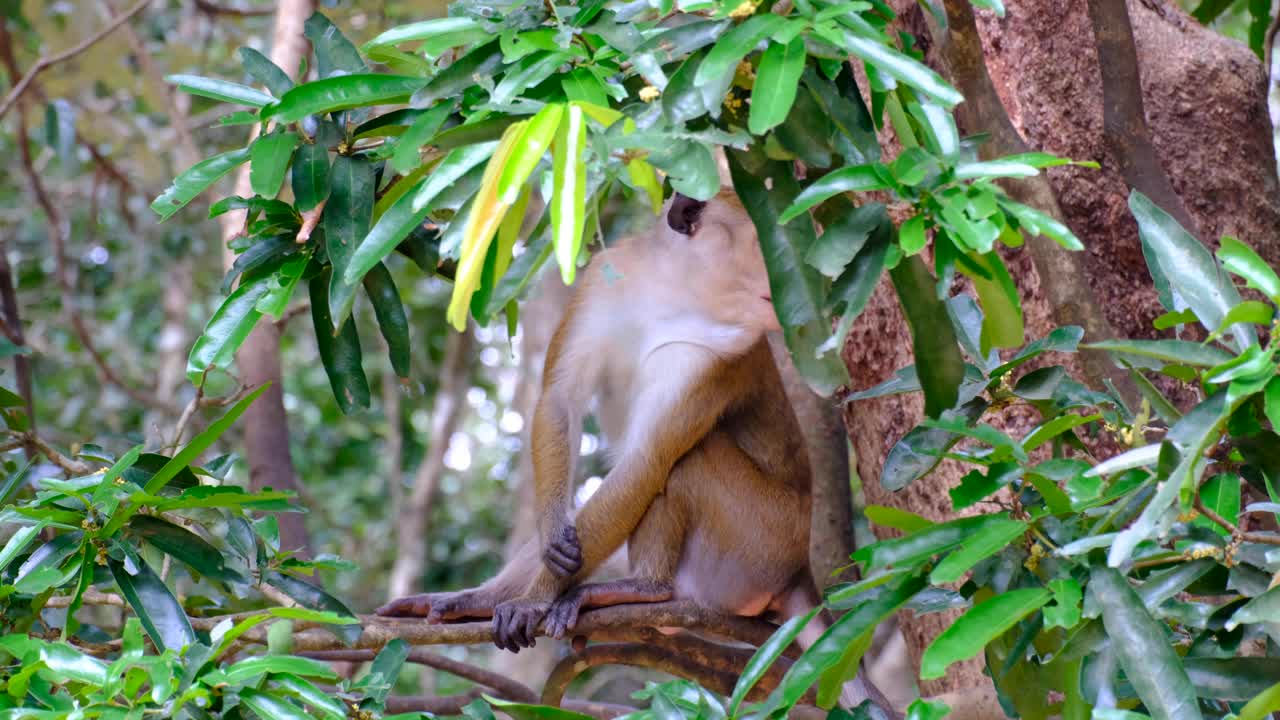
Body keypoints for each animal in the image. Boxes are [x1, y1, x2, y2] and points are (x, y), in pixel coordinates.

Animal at [378, 189, 895, 713]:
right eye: (765, 244)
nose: (800, 288)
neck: (676, 293)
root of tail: (798, 572)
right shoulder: (604, 281)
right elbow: (560, 399)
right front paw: (546, 549)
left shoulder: (716, 356)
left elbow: (647, 461)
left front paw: (533, 600)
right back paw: (482, 599)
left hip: (756, 546)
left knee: (690, 459)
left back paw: (649, 590)